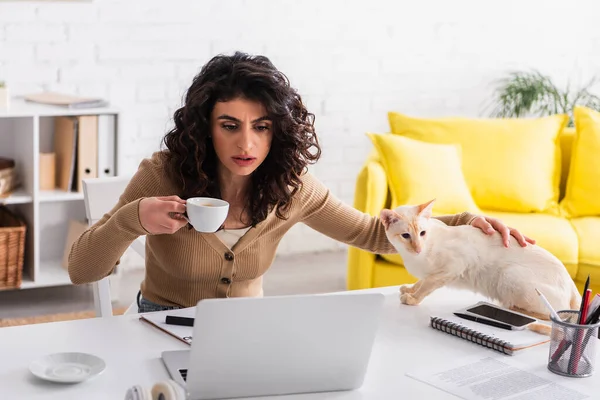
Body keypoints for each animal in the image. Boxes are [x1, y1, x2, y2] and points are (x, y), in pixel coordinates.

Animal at [380, 199, 580, 334]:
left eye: (422, 233)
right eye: (406, 236)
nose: (418, 248)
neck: (414, 257)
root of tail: (572, 285)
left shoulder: (451, 268)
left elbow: (425, 286)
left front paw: (411, 298)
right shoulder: (432, 273)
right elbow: (420, 282)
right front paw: (409, 289)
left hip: (509, 275)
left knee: (554, 315)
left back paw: (510, 307)